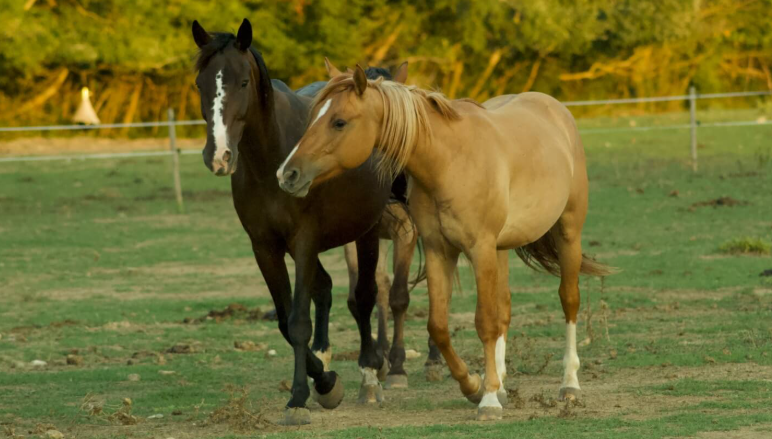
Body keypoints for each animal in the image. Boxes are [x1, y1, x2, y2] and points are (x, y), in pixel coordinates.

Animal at [192, 19, 393, 425]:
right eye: (199, 84)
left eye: (243, 83)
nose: (218, 156)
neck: (271, 157)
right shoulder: (265, 247)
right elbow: (287, 322)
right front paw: (325, 381)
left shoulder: (303, 241)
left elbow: (299, 322)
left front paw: (301, 395)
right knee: (326, 289)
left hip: (366, 232)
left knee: (364, 297)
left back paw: (370, 373)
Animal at [277, 65, 615, 421]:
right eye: (313, 116)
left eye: (339, 122)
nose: (287, 174)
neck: (449, 160)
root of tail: (555, 109)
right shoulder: (440, 251)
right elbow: (439, 325)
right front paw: (475, 385)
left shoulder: (479, 249)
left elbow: (484, 322)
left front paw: (488, 401)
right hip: (501, 249)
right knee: (505, 308)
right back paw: (502, 383)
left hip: (567, 233)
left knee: (569, 301)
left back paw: (569, 385)